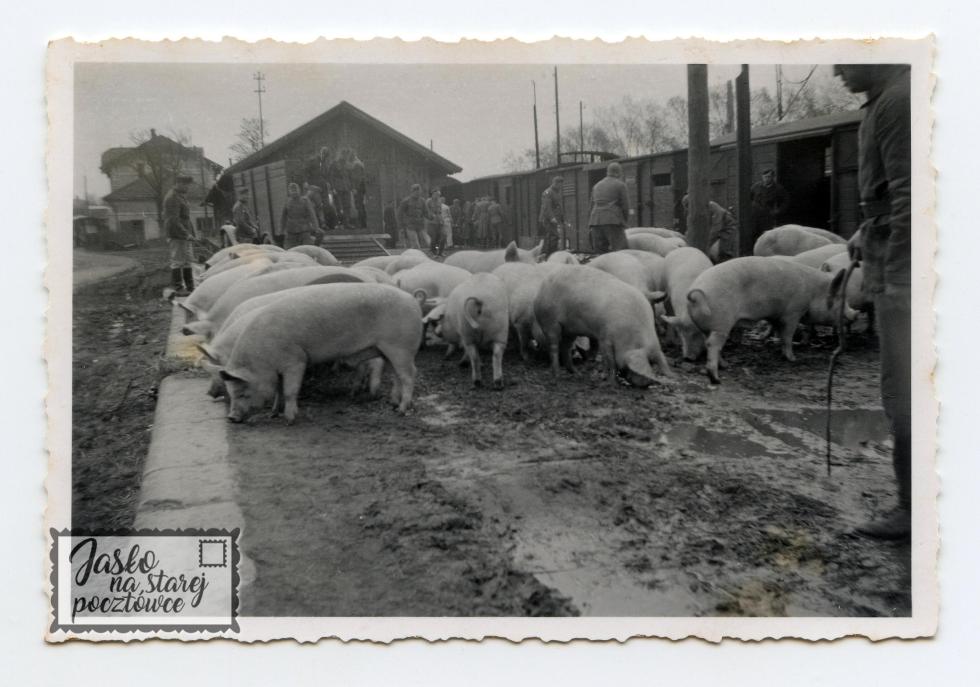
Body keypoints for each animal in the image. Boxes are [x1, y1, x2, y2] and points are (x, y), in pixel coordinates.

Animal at [218, 283, 422, 423]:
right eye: (231, 392)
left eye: (242, 392)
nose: (231, 418)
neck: (262, 358)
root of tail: (412, 299)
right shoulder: (278, 371)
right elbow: (278, 391)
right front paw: (272, 414)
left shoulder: (295, 360)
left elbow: (290, 391)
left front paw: (290, 419)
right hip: (389, 350)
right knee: (396, 375)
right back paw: (393, 404)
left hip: (400, 347)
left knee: (409, 375)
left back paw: (402, 410)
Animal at [534, 265, 672, 387]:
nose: (645, 384)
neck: (628, 333)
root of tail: (541, 288)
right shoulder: (605, 336)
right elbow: (611, 361)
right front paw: (611, 384)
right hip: (550, 322)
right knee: (554, 346)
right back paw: (556, 377)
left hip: (570, 330)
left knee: (566, 348)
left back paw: (577, 374)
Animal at [686, 256, 856, 383]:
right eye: (841, 299)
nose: (855, 314)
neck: (814, 292)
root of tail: (695, 294)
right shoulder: (793, 312)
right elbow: (787, 336)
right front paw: (793, 359)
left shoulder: (776, 315)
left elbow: (778, 332)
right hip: (722, 324)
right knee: (713, 345)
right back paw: (716, 378)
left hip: (708, 327)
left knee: (709, 343)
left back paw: (725, 366)